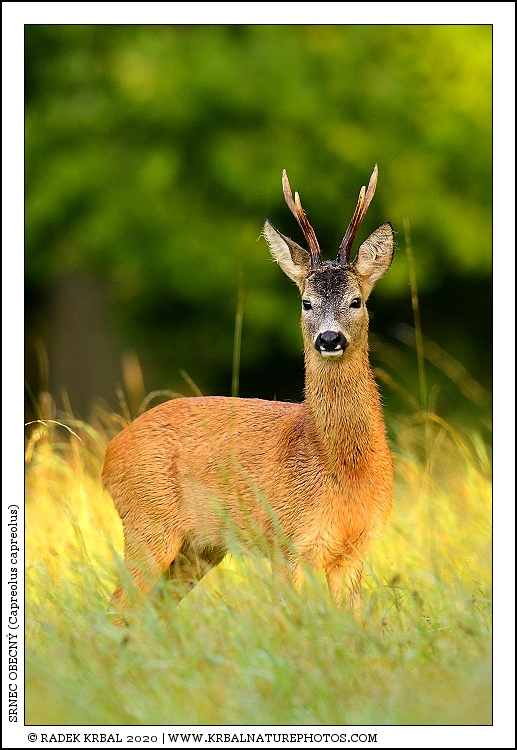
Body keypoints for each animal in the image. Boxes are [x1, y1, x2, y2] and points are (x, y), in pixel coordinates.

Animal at [102, 165, 395, 618]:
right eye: (306, 303)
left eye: (356, 300)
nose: (329, 339)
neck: (339, 468)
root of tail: (108, 455)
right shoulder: (287, 540)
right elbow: (290, 620)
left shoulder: (356, 548)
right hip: (146, 522)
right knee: (119, 609)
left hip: (198, 549)